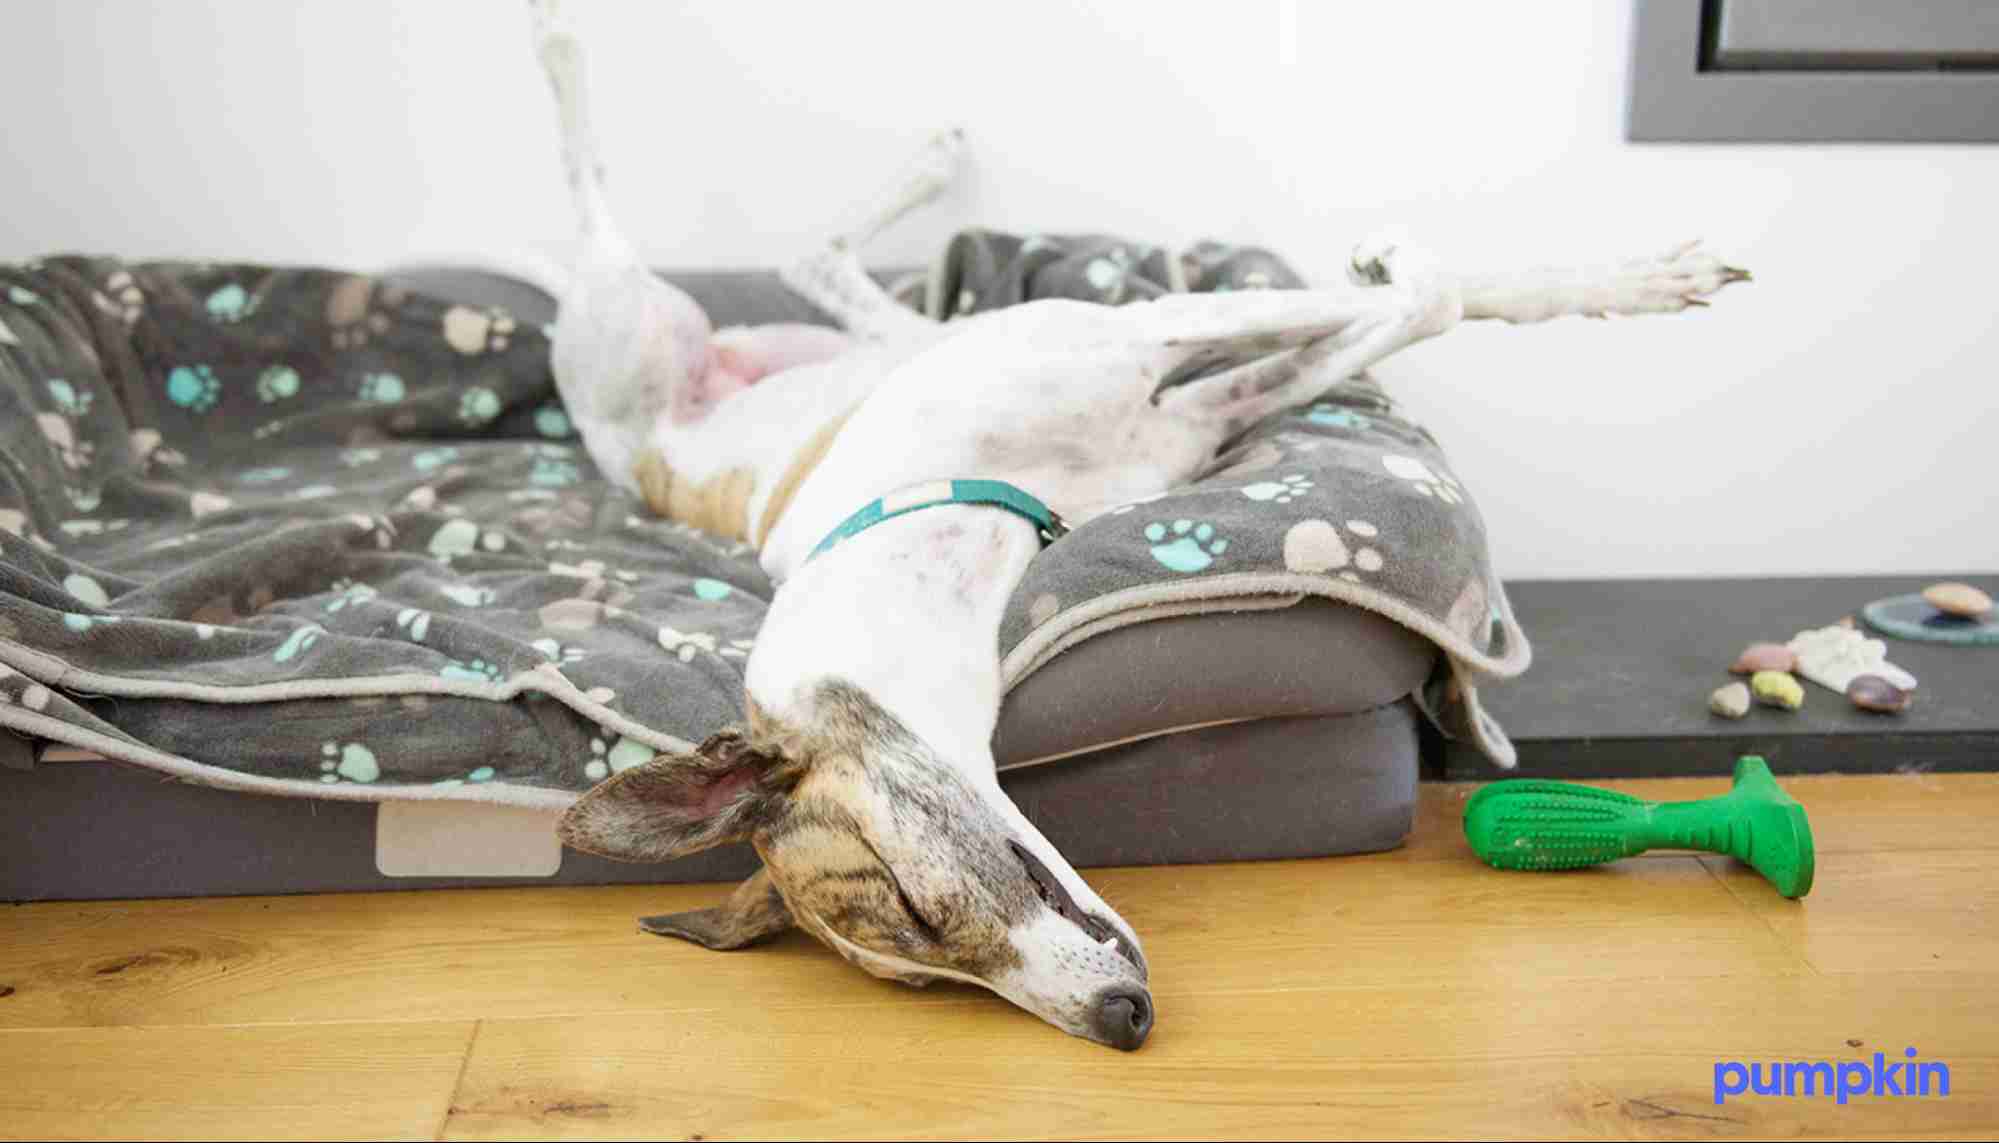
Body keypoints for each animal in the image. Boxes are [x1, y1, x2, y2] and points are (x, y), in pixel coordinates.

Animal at [535, 2, 1751, 1055]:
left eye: (921, 907)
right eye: (925, 972)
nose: (1121, 1022)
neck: (934, 504)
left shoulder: (1147, 344)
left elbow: (1427, 298)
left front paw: (1612, 277)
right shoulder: (1188, 407)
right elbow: (1410, 310)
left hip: (673, 330)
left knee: (692, 235)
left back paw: (567, 44)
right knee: (798, 256)